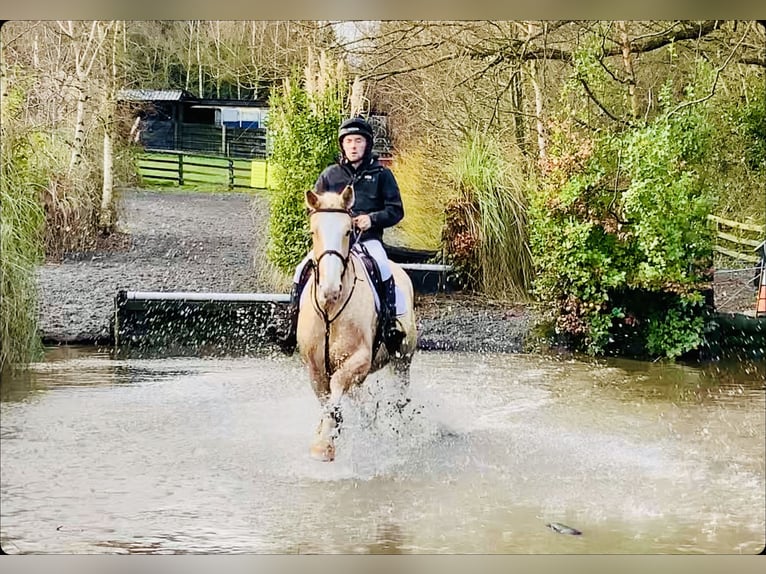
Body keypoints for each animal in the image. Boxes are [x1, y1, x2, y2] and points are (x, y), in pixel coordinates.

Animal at [296, 185, 418, 462]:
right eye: (313, 231)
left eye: (347, 231)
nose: (330, 290)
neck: (330, 311)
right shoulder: (315, 368)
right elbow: (327, 397)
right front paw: (327, 432)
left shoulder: (359, 359)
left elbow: (337, 386)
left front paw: (325, 443)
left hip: (402, 360)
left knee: (398, 397)